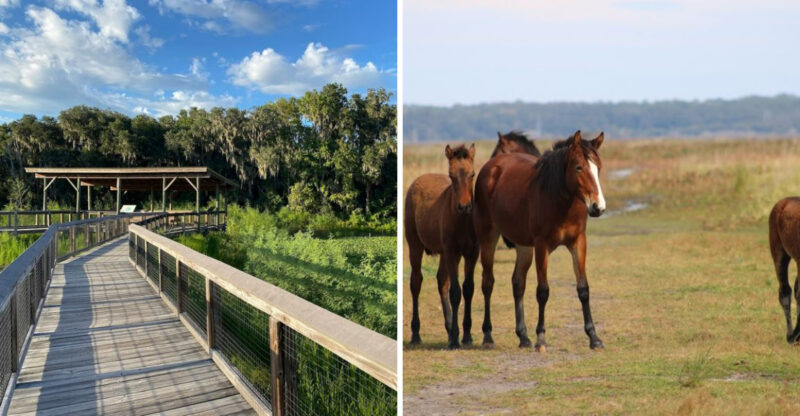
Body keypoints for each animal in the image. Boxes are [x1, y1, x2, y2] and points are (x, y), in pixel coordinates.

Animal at [405, 144, 478, 349]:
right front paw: (455, 340)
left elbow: (468, 289)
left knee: (441, 282)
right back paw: (416, 334)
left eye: (472, 174)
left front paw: (466, 336)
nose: (464, 206)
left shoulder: (471, 253)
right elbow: (456, 292)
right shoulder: (452, 252)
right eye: (451, 175)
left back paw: (449, 327)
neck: (462, 222)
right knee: (416, 282)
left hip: (444, 254)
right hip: (415, 246)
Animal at [473, 130, 607, 350]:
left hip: (524, 247)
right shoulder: (542, 246)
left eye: (598, 168)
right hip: (488, 237)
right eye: (579, 167)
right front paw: (541, 338)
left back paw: (523, 336)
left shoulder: (578, 242)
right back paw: (488, 336)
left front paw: (594, 338)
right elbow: (543, 291)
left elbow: (583, 289)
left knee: (518, 282)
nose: (598, 207)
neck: (559, 199)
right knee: (488, 283)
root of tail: (491, 167)